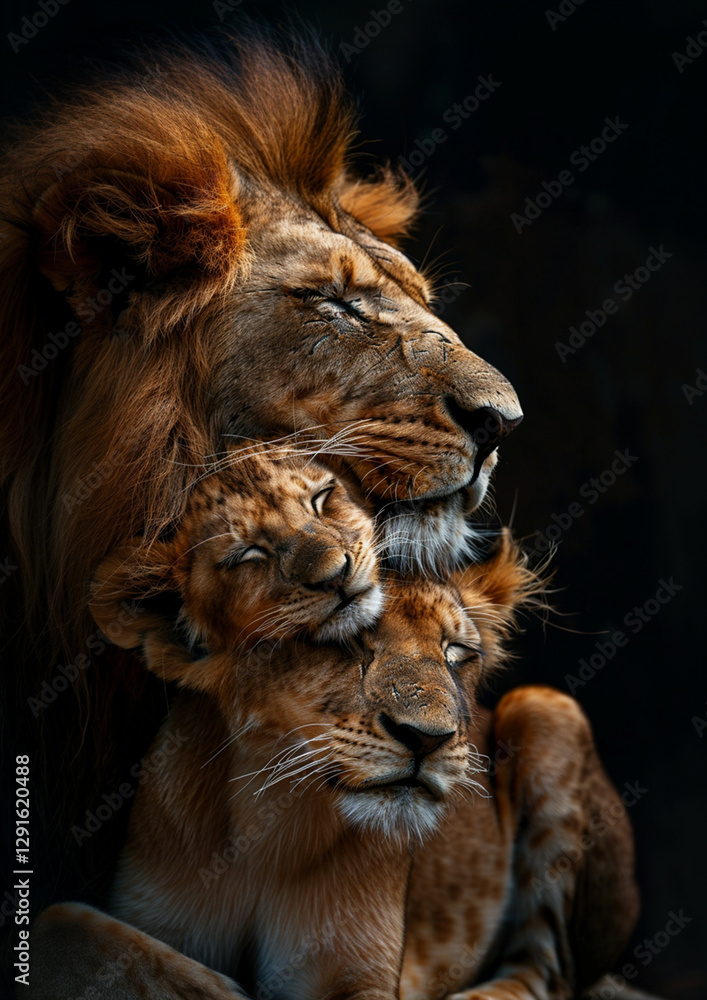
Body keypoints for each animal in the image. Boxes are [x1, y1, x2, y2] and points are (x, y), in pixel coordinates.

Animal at [28, 531, 642, 1000]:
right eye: (345, 640)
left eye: (456, 654)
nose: (428, 739)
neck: (269, 830)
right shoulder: (148, 918)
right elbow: (64, 922)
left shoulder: (359, 973)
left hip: (544, 705)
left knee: (546, 973)